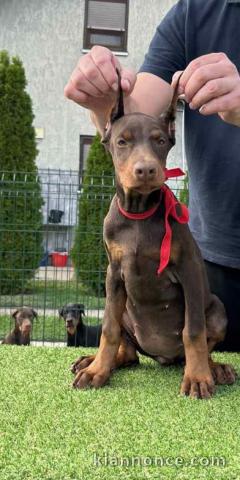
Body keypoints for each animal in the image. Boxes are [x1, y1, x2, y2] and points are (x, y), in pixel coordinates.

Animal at [71, 75, 236, 398]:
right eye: (122, 141)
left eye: (160, 141)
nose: (146, 170)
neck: (139, 212)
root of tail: (164, 357)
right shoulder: (114, 274)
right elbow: (108, 329)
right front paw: (97, 371)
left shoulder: (188, 270)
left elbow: (193, 331)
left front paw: (198, 378)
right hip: (124, 308)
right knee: (129, 352)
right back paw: (93, 362)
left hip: (216, 308)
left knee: (203, 342)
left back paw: (215, 369)